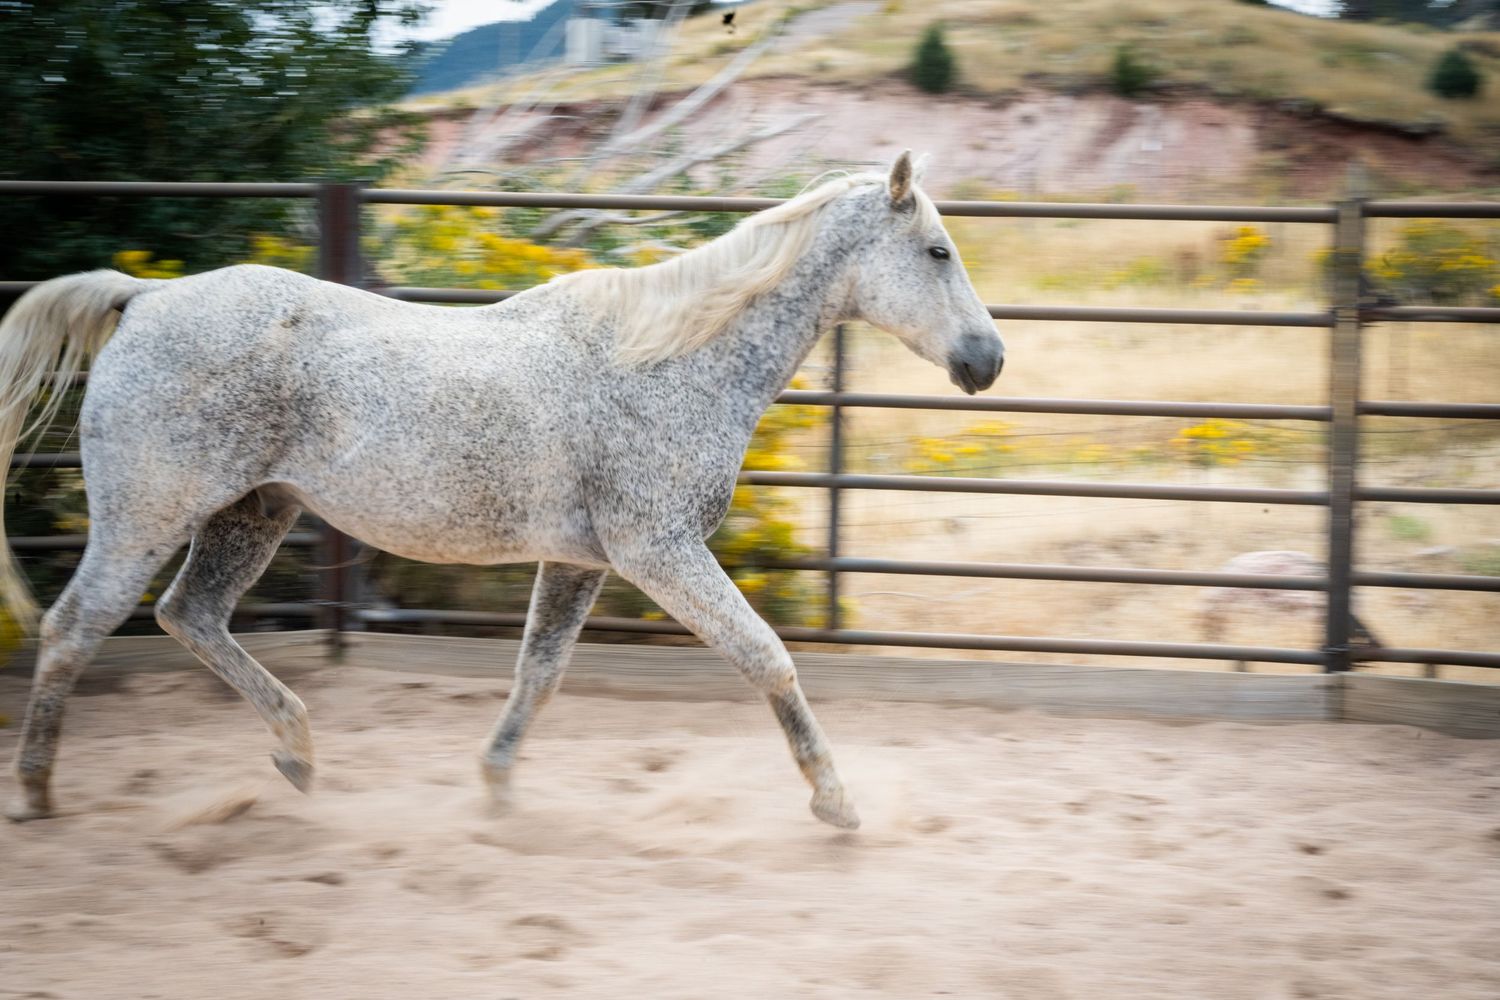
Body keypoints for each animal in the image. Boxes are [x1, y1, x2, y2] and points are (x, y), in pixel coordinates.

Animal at [3, 152, 1003, 828]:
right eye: (937, 250)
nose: (987, 360)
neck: (672, 364)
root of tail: (143, 299)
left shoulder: (580, 561)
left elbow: (539, 674)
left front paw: (495, 784)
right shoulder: (659, 550)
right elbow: (767, 657)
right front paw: (835, 801)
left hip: (254, 513)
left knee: (190, 616)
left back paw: (296, 752)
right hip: (148, 514)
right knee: (76, 626)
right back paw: (38, 795)